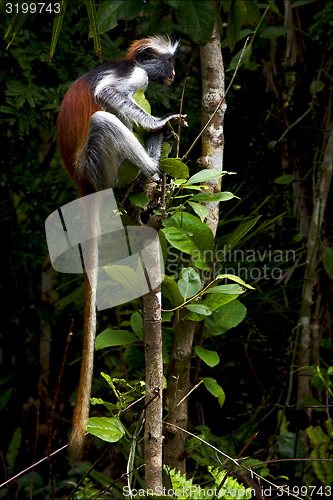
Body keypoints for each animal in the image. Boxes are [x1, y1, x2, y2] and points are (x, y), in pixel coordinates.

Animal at [55, 33, 183, 458]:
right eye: (167, 62)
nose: (174, 75)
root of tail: (82, 183)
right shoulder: (134, 76)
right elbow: (108, 94)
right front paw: (160, 123)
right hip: (97, 163)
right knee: (104, 119)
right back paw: (152, 167)